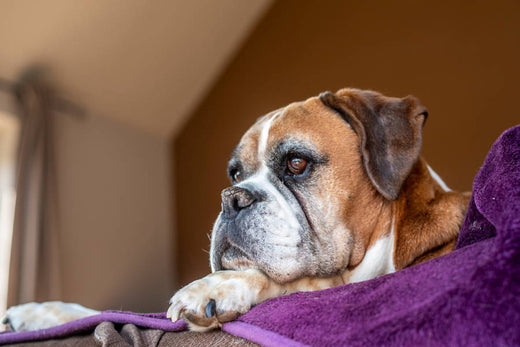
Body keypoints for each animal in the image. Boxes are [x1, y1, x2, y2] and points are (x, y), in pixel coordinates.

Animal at [2, 87, 470, 332]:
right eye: (235, 174)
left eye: (296, 163)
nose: (233, 198)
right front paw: (41, 313)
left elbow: (301, 283)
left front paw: (217, 287)